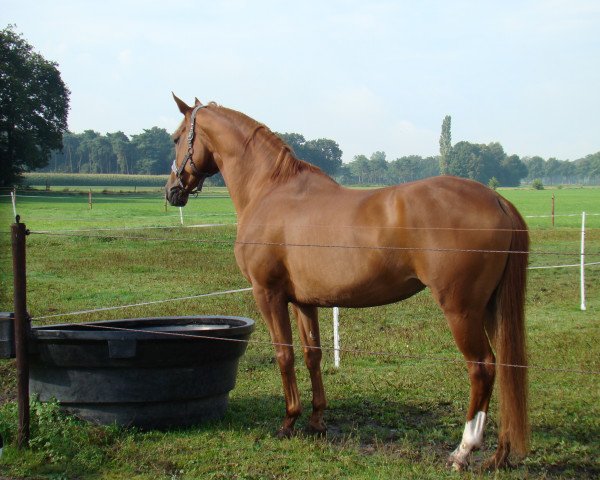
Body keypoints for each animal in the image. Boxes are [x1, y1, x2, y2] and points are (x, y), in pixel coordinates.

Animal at [165, 95, 528, 470]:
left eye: (176, 138)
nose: (172, 190)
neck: (270, 190)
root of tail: (497, 199)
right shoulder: (304, 301)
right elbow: (312, 354)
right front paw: (316, 421)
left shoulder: (268, 294)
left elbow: (284, 354)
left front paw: (288, 422)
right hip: (489, 308)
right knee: (506, 367)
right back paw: (499, 454)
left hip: (461, 311)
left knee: (482, 368)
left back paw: (463, 450)